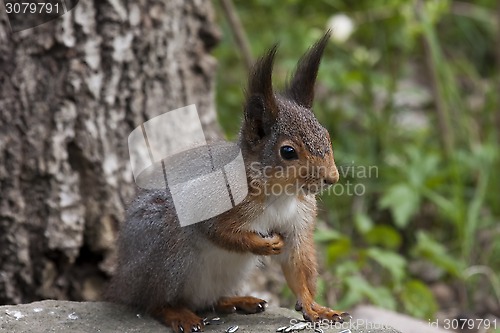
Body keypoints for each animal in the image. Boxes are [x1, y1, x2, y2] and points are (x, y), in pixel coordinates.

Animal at [106, 32, 348, 330]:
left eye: (326, 136)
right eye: (288, 151)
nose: (331, 178)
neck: (278, 192)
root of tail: (123, 283)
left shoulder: (299, 221)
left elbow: (298, 266)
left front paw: (316, 308)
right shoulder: (210, 204)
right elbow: (220, 233)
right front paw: (263, 244)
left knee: (206, 301)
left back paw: (236, 301)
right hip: (165, 253)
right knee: (154, 302)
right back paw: (177, 313)